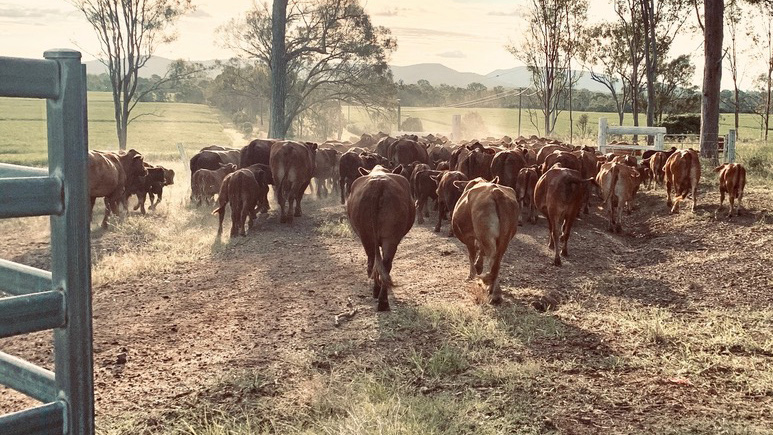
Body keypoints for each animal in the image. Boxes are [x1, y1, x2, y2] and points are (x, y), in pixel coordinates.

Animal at [347, 165, 415, 311]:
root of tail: (378, 183)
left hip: (368, 237)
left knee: (374, 262)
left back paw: (379, 295)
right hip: (389, 238)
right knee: (384, 263)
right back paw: (381, 298)